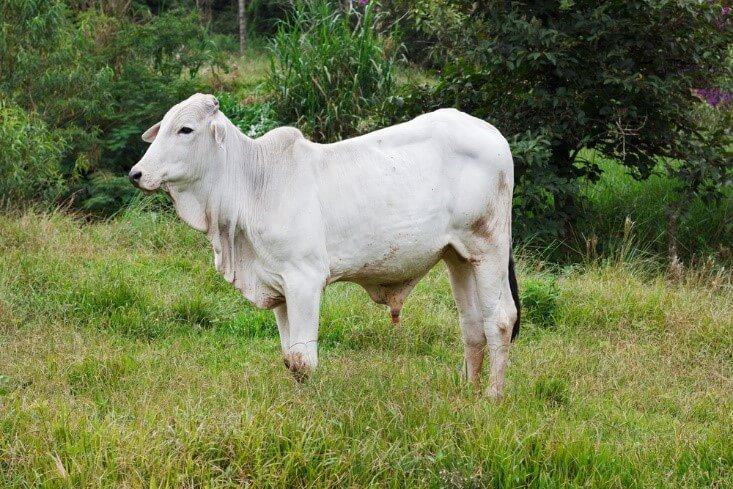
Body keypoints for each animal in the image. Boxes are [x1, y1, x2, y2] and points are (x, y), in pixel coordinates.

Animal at [129, 93, 520, 398]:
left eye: (186, 129)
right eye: (162, 127)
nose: (136, 174)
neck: (253, 184)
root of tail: (492, 134)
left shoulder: (305, 279)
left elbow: (304, 361)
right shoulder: (278, 285)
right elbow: (290, 358)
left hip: (489, 247)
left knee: (500, 319)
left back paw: (492, 396)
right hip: (458, 256)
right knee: (472, 325)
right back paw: (466, 391)